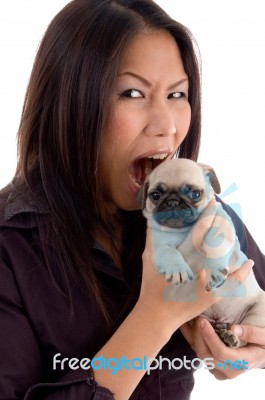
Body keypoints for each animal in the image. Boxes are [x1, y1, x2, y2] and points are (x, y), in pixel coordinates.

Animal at [138, 159, 264, 346]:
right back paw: (223, 334)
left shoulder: (221, 222)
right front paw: (178, 269)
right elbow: (169, 253)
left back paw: (231, 337)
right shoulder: (157, 247)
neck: (182, 230)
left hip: (257, 314)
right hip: (201, 319)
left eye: (195, 194)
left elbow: (214, 242)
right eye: (155, 195)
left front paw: (214, 271)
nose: (173, 201)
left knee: (243, 338)